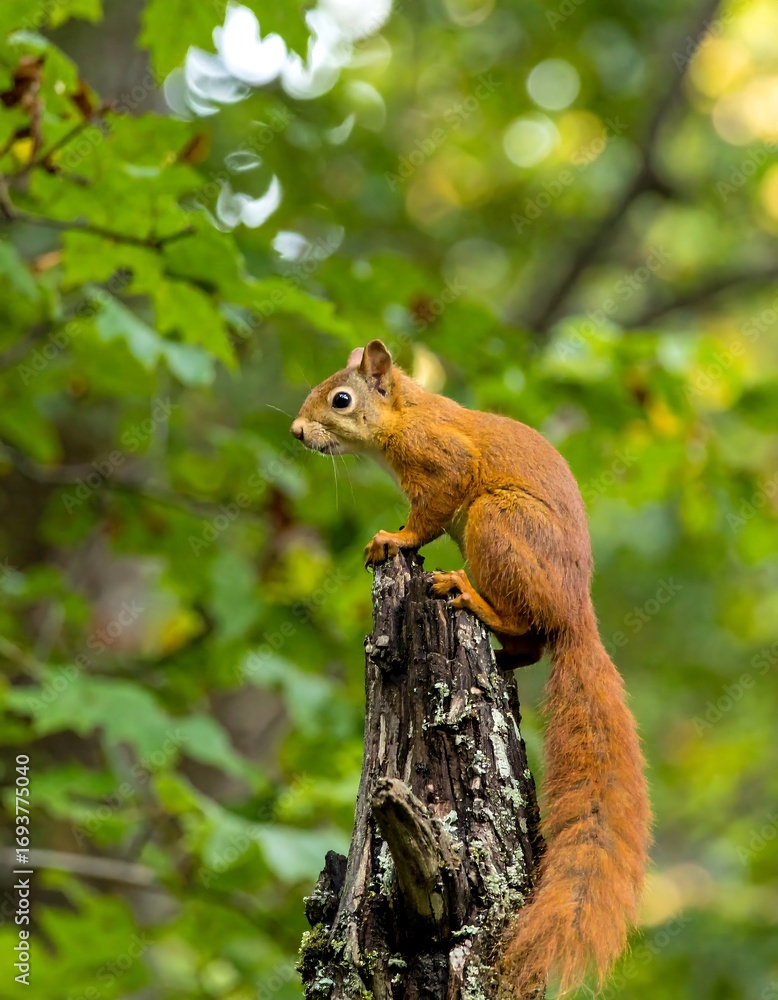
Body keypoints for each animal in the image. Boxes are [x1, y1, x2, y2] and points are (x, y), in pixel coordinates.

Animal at [291, 339, 651, 997]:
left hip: (495, 520)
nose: (298, 431)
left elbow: (427, 514)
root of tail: (575, 611)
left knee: (523, 620)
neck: (406, 416)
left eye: (341, 399)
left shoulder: (444, 464)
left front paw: (393, 539)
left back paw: (467, 593)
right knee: (529, 644)